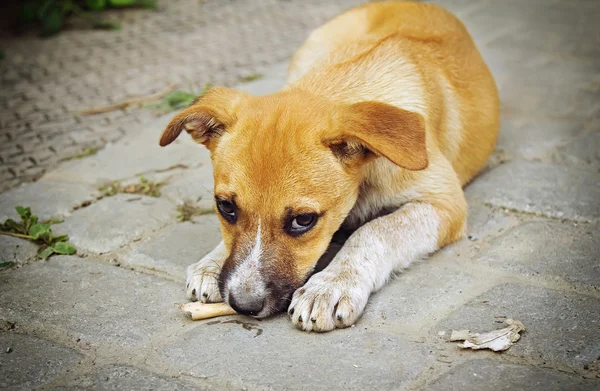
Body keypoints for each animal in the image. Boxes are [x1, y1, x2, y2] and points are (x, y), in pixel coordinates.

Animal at [158, 2, 496, 334]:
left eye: (303, 220)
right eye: (225, 207)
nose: (244, 305)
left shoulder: (444, 203)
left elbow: (373, 231)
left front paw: (330, 286)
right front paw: (211, 262)